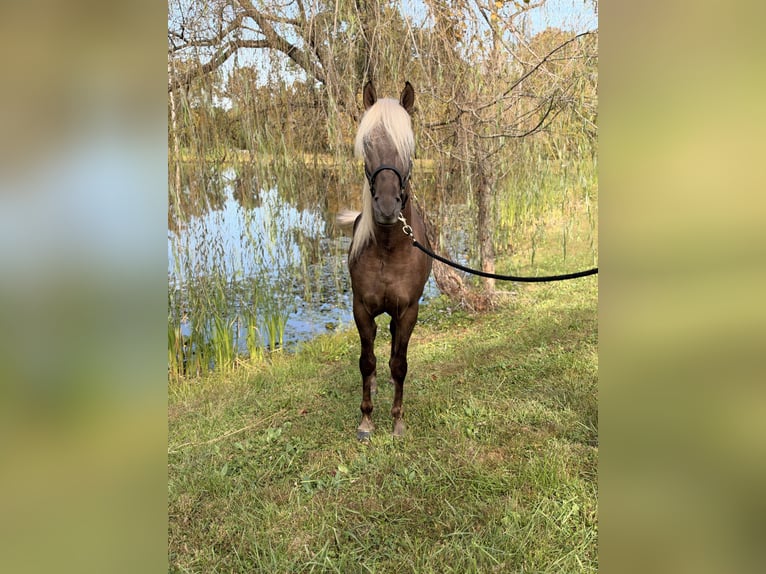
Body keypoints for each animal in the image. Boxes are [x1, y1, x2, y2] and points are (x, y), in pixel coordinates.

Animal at [337, 81, 432, 440]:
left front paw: (397, 419)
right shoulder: (361, 309)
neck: (390, 249)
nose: (388, 206)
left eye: (409, 145)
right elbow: (366, 362)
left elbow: (400, 363)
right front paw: (366, 420)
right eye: (367, 143)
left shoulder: (408, 311)